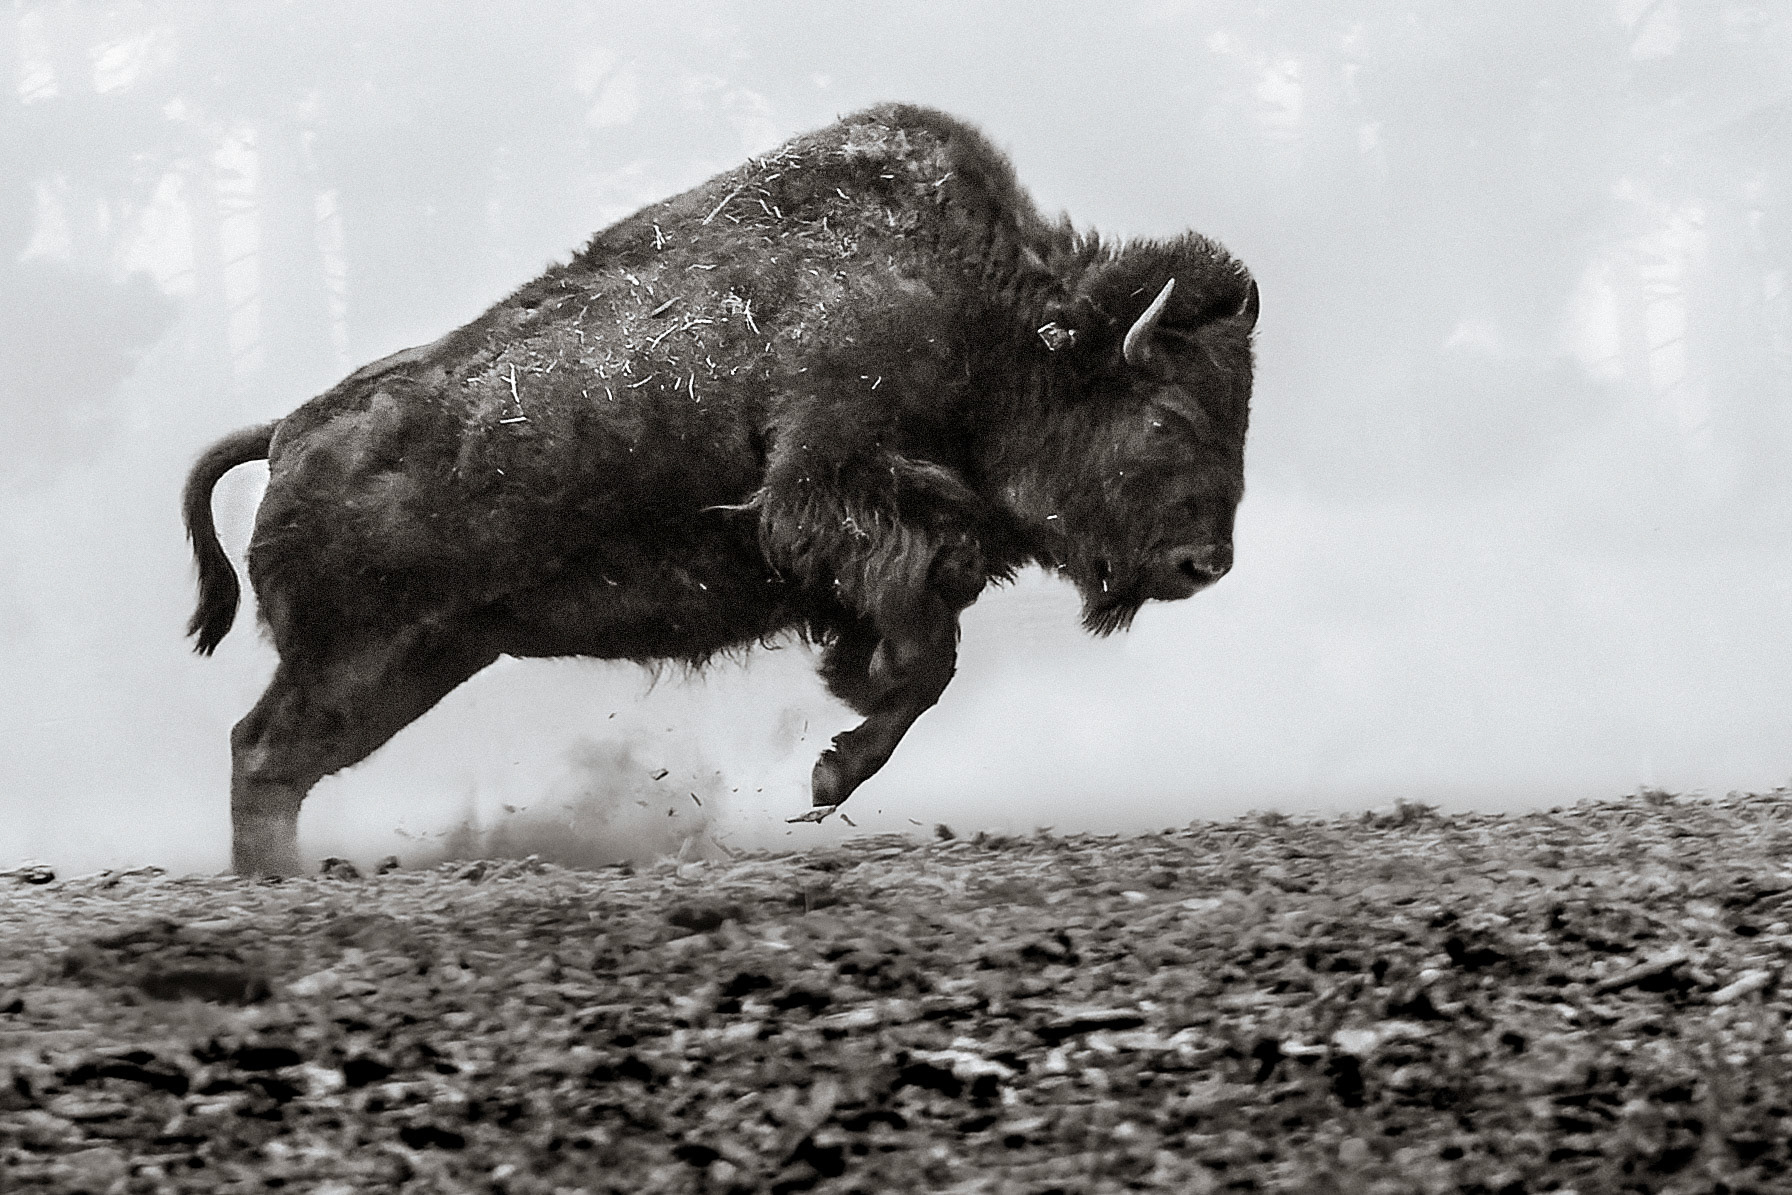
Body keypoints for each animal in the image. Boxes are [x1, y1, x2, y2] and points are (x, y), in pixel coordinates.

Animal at [184, 104, 1258, 875]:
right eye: (1167, 415)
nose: (1207, 562)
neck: (990, 322)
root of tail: (288, 433)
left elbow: (921, 649)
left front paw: (838, 725)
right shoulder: (820, 491)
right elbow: (926, 654)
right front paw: (830, 768)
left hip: (429, 655)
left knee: (269, 754)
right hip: (356, 661)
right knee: (262, 752)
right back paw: (276, 879)